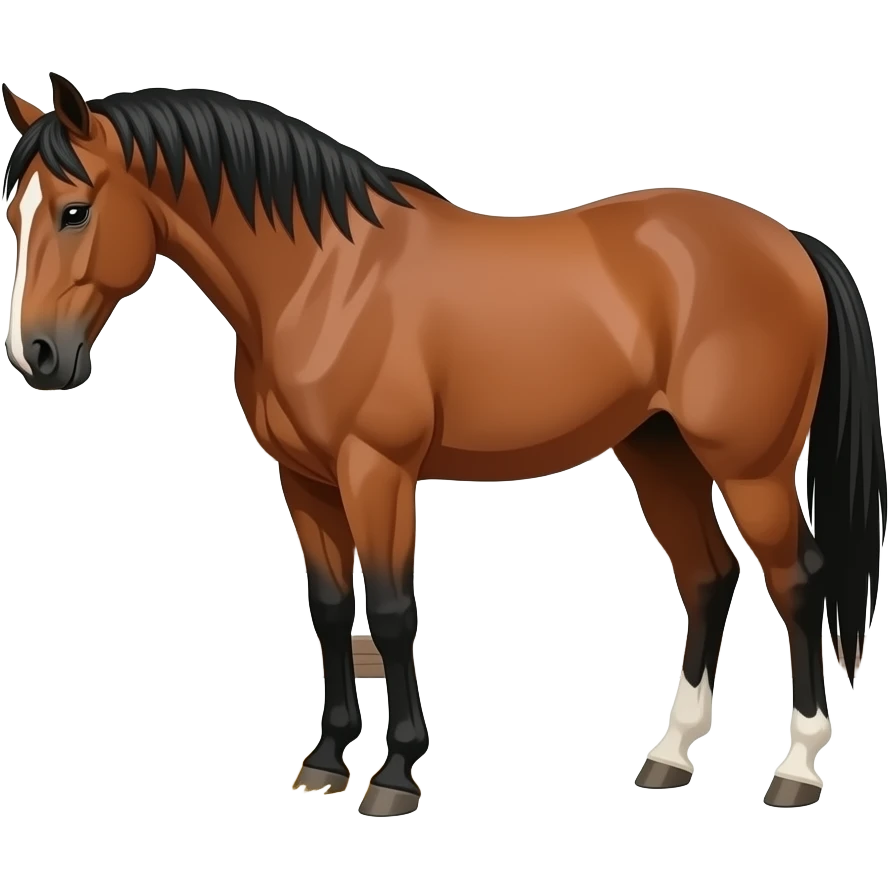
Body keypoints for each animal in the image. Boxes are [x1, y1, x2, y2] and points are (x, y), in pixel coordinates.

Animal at [3, 74, 885, 815]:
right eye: (13, 216)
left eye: (75, 209)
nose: (35, 355)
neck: (322, 278)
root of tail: (790, 244)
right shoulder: (303, 479)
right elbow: (330, 609)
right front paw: (324, 761)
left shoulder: (377, 471)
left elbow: (393, 613)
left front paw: (395, 774)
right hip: (659, 452)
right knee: (706, 576)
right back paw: (668, 756)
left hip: (749, 466)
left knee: (795, 579)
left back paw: (795, 769)